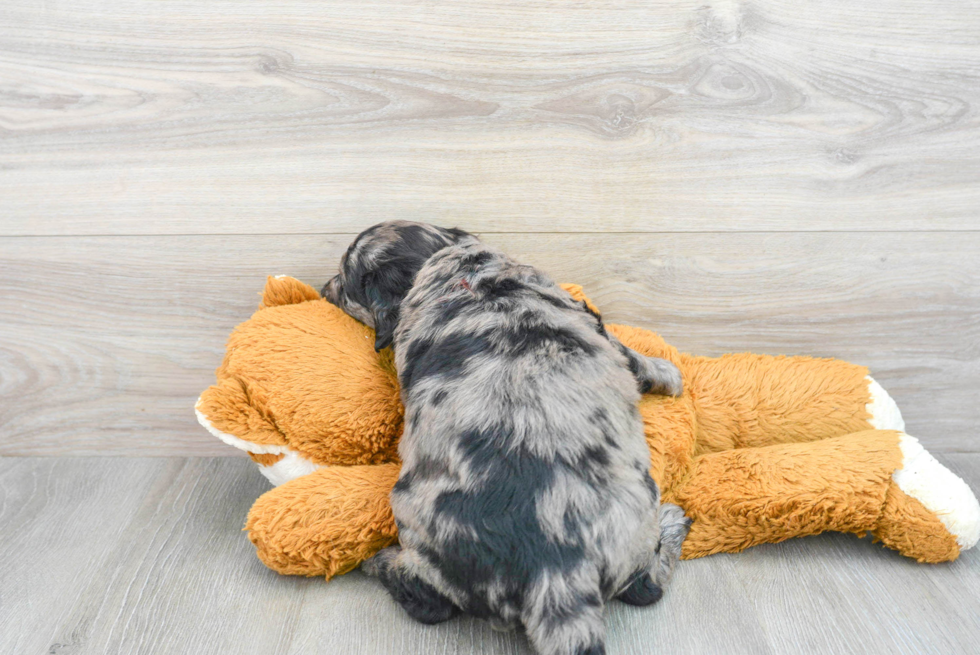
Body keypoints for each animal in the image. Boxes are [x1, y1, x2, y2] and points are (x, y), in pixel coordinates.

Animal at [322, 222, 688, 655]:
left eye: (344, 280)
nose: (323, 288)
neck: (461, 273)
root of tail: (556, 571)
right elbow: (631, 356)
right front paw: (671, 373)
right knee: (645, 588)